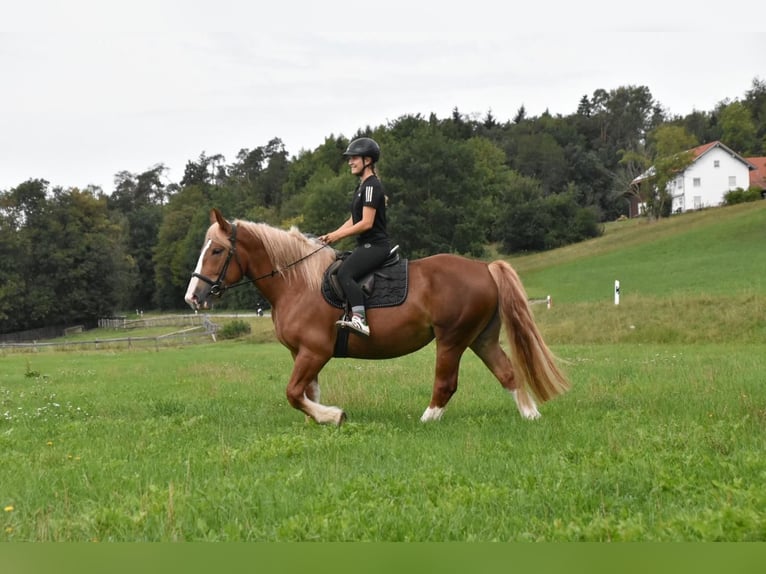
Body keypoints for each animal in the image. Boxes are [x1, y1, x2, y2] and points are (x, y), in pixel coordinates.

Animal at [184, 208, 570, 426]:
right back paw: (531, 416)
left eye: (216, 251)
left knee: (446, 383)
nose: (193, 296)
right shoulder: (302, 354)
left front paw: (333, 416)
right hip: (480, 337)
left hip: (453, 339)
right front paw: (319, 420)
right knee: (507, 373)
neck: (297, 282)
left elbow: (293, 393)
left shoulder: (314, 352)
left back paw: (426, 420)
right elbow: (308, 392)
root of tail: (484, 268)